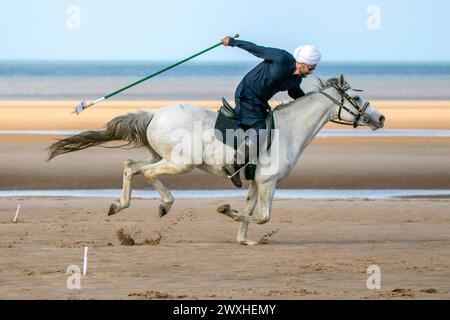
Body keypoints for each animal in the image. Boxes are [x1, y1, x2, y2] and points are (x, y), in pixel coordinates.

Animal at [50, 75, 386, 245]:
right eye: (356, 98)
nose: (381, 118)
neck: (289, 129)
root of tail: (153, 114)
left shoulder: (257, 182)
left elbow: (251, 211)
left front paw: (244, 240)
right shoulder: (269, 182)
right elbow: (263, 216)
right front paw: (227, 210)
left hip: (161, 156)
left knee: (131, 167)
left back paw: (119, 205)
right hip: (179, 163)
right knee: (147, 173)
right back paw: (164, 204)